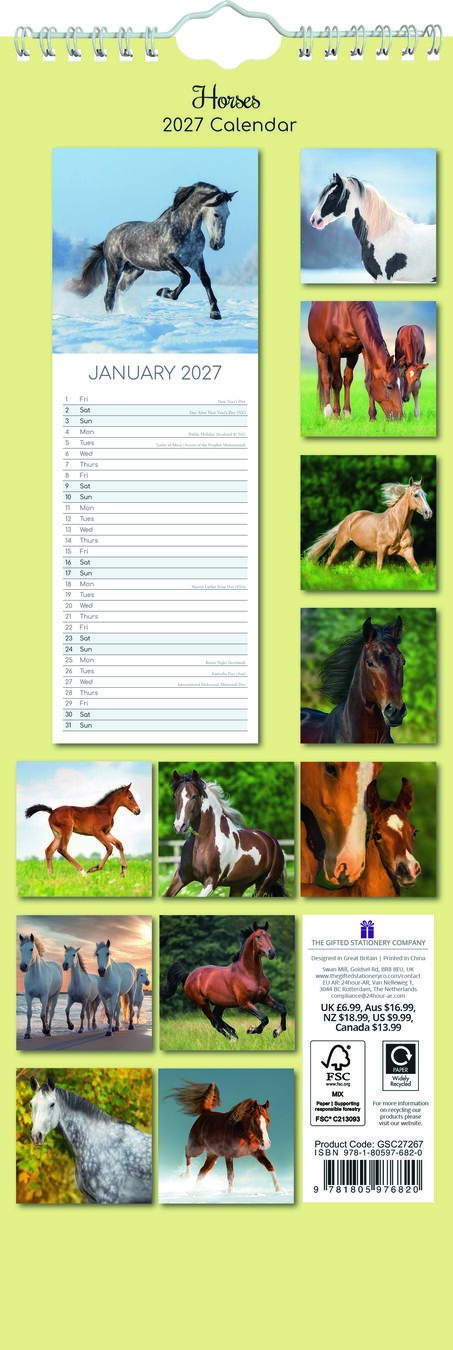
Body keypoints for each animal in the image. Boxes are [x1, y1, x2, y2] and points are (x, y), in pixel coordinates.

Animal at [29, 1076, 152, 1204]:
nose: (36, 1136)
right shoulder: (91, 1199)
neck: (100, 1143)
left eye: (52, 1104)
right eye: (31, 1104)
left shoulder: (108, 1198)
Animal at [66, 182, 237, 319]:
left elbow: (206, 280)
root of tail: (109, 236)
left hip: (134, 271)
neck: (184, 229)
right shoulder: (167, 260)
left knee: (120, 291)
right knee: (109, 296)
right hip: (115, 268)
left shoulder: (196, 260)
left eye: (228, 214)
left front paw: (215, 313)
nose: (218, 244)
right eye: (216, 214)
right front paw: (164, 292)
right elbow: (185, 277)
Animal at [163, 770, 287, 899]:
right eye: (175, 796)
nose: (179, 826)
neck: (203, 842)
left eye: (194, 796)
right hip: (239, 886)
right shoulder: (181, 876)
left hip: (263, 884)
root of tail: (276, 845)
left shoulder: (211, 882)